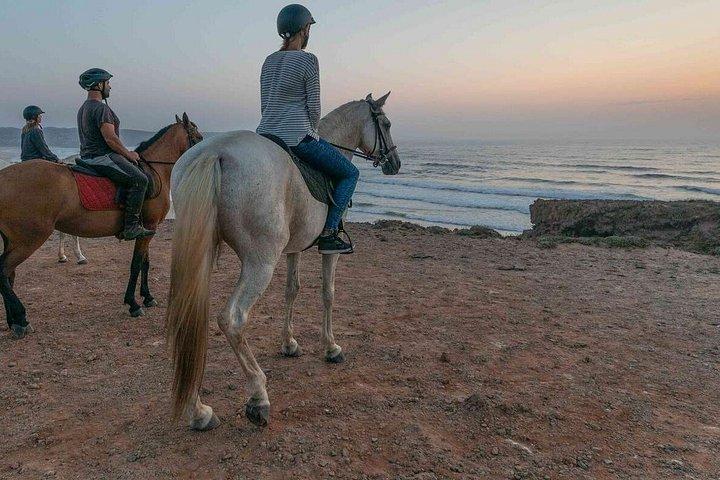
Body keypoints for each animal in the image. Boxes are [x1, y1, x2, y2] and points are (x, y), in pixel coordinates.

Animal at [0, 113, 203, 338]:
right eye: (198, 137)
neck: (154, 170)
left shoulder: (147, 230)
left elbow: (145, 263)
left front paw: (148, 297)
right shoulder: (147, 228)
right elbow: (136, 264)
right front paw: (133, 303)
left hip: (14, 240)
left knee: (9, 274)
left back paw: (13, 320)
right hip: (28, 239)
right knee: (3, 271)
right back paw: (20, 319)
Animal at [166, 93, 401, 431]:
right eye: (386, 124)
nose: (395, 163)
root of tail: (215, 151)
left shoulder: (293, 250)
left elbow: (292, 290)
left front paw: (289, 343)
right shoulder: (329, 252)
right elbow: (328, 294)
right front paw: (331, 347)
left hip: (203, 255)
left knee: (189, 314)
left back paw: (198, 411)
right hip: (260, 262)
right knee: (233, 319)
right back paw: (258, 396)